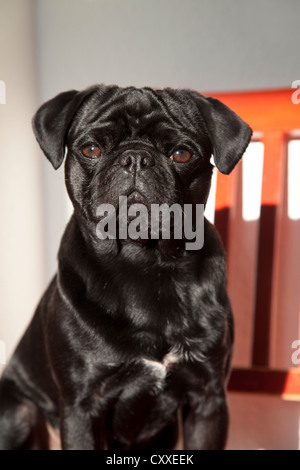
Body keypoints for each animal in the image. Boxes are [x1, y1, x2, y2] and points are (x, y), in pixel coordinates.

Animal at [0, 83, 252, 448]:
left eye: (182, 154)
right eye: (91, 149)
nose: (135, 158)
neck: (145, 263)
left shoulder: (208, 398)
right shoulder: (81, 408)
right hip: (15, 413)